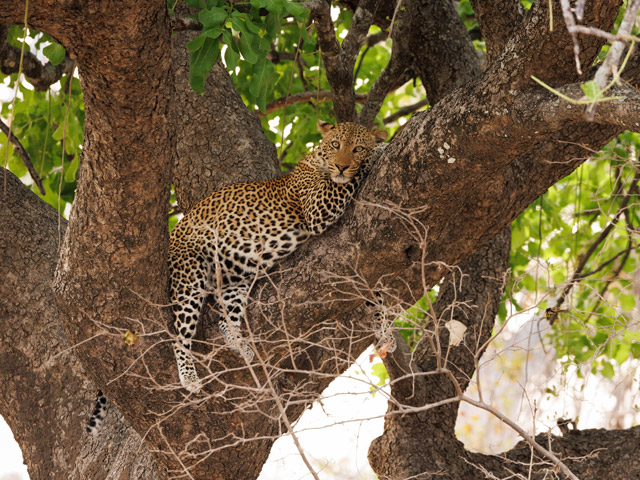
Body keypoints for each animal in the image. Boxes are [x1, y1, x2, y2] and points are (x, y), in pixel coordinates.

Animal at [86, 121, 386, 433]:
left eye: (357, 148)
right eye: (336, 145)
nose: (342, 166)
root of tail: (172, 239)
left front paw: (381, 321)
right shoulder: (318, 208)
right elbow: (345, 183)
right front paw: (380, 149)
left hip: (235, 280)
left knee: (224, 319)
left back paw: (240, 344)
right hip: (189, 276)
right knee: (179, 337)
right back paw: (189, 377)